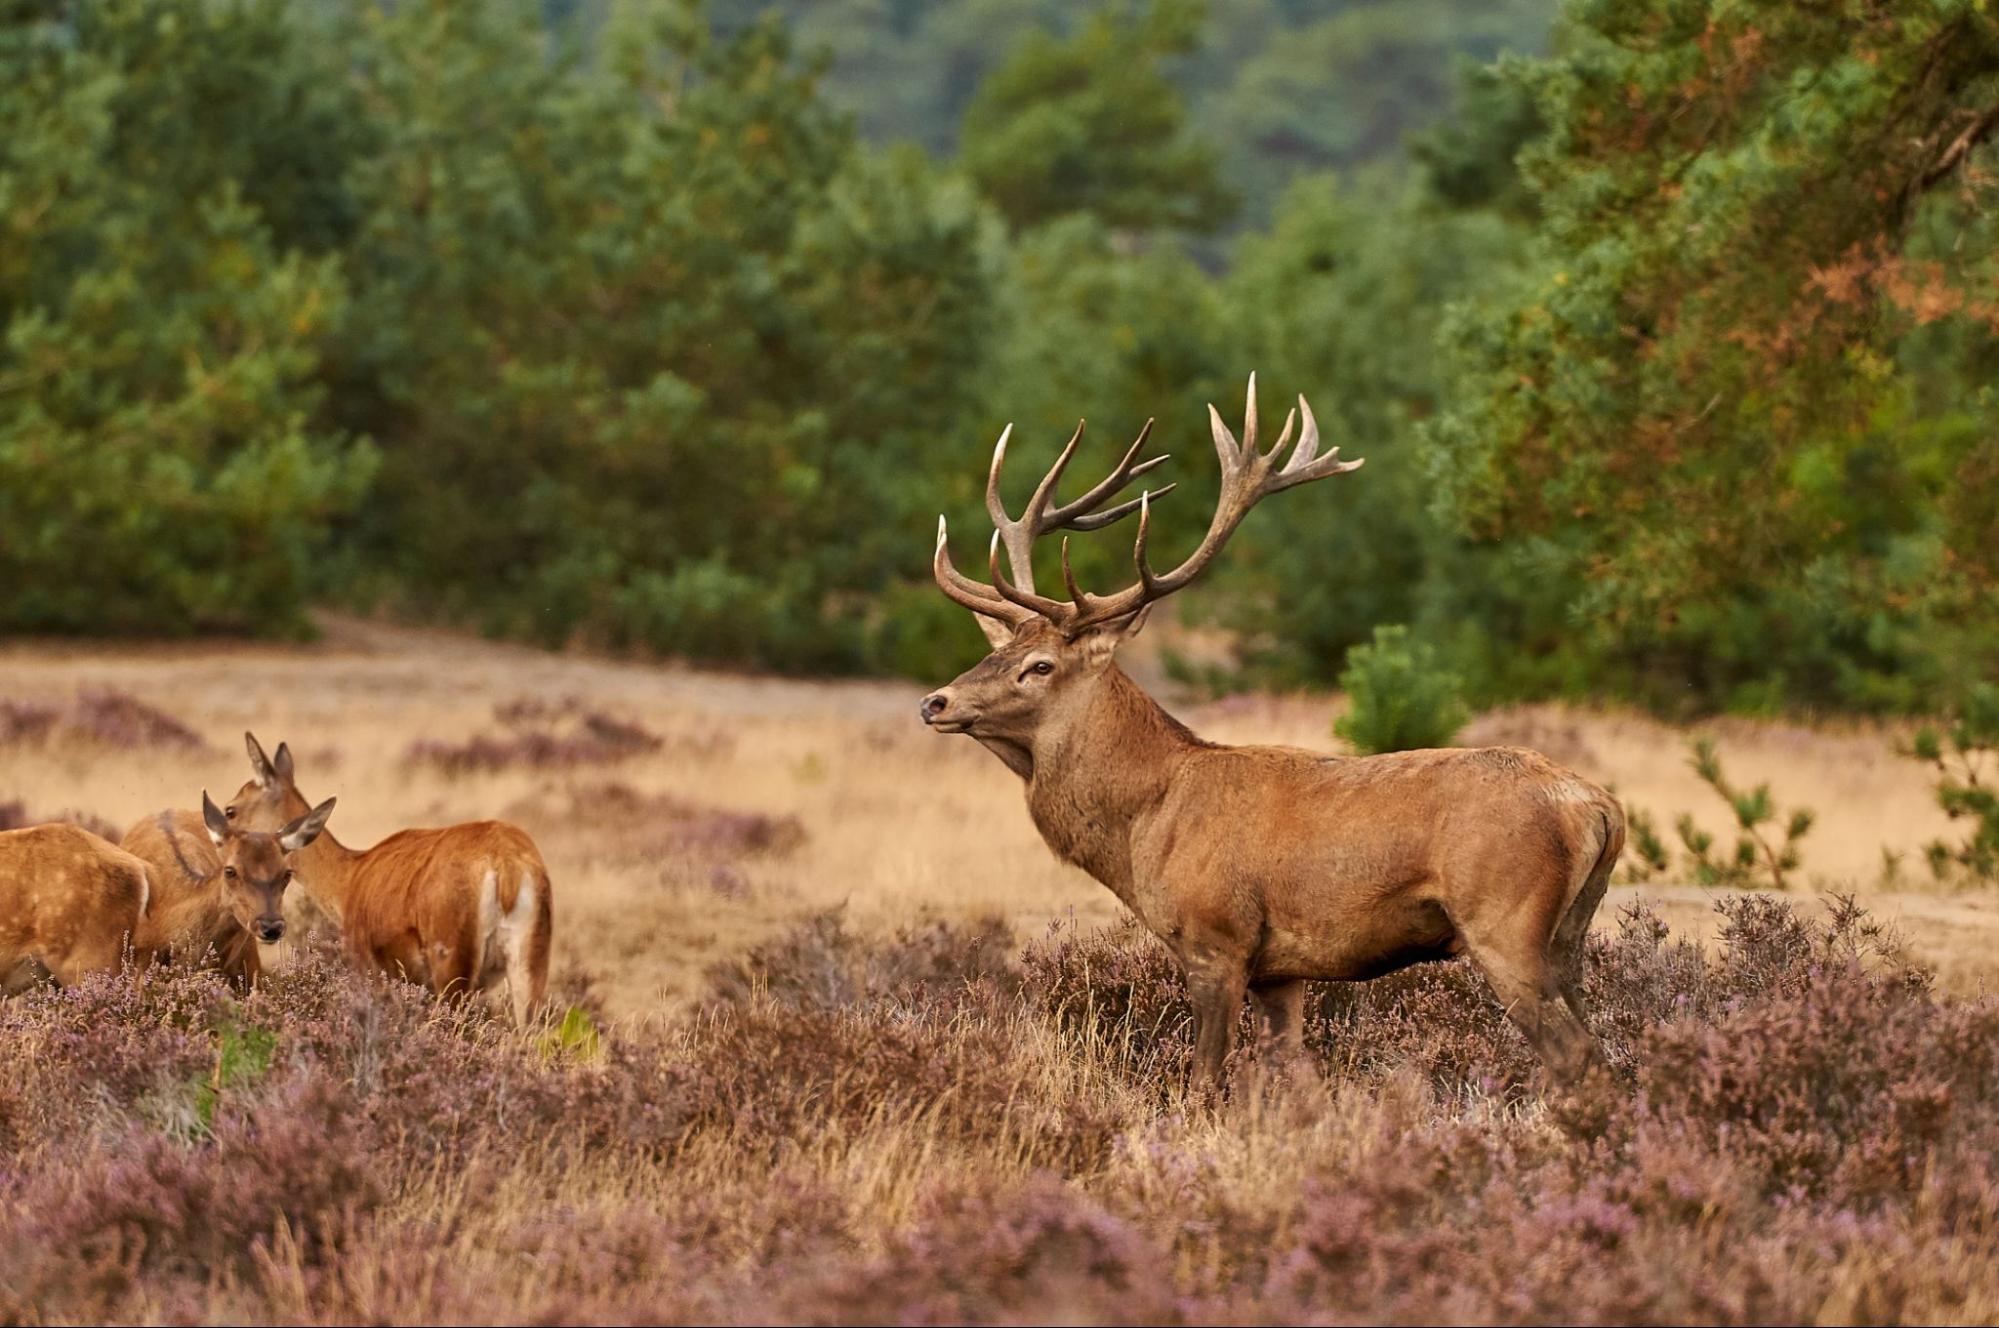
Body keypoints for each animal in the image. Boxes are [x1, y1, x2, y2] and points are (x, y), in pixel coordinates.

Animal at [227, 732, 555, 1020]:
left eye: (231, 810)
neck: (351, 877)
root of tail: (506, 865)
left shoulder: (369, 968)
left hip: (452, 971)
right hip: (528, 968)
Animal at [919, 374, 1623, 1088]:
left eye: (1040, 665)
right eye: (996, 652)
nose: (935, 701)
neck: (1145, 825)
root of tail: (1598, 806)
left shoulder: (1217, 939)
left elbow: (1206, 1078)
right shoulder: (1279, 972)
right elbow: (1286, 1076)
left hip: (1502, 921)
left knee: (1578, 1053)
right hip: (1570, 939)